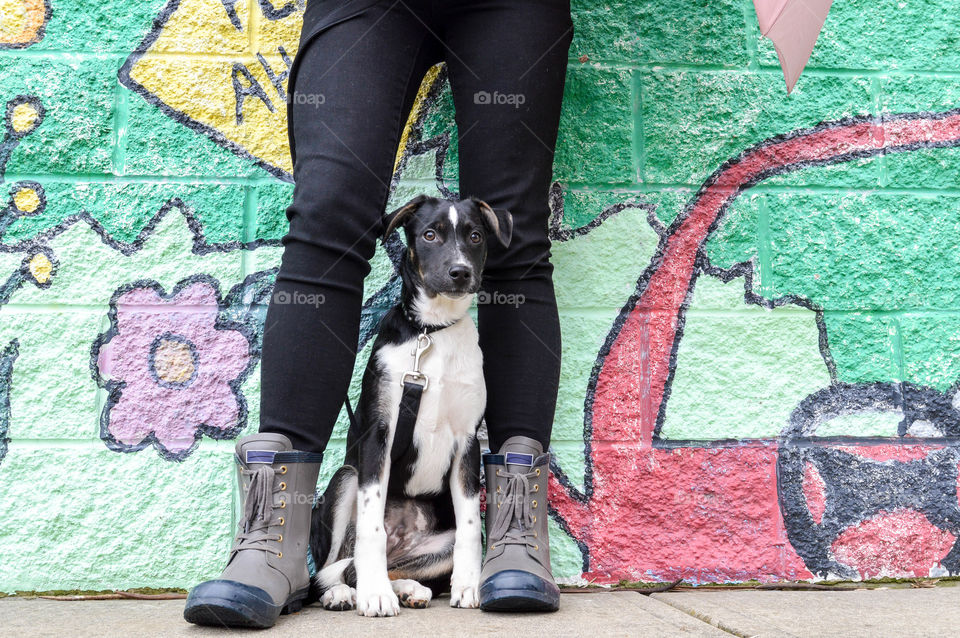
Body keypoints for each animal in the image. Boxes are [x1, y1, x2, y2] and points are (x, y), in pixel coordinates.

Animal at [312, 196, 512, 620]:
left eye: (475, 235)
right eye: (430, 235)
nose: (460, 272)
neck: (431, 331)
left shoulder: (468, 442)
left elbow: (470, 527)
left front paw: (468, 586)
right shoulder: (378, 437)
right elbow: (370, 529)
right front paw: (375, 595)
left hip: (435, 546)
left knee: (385, 566)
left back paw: (409, 589)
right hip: (346, 477)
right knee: (334, 568)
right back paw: (346, 593)